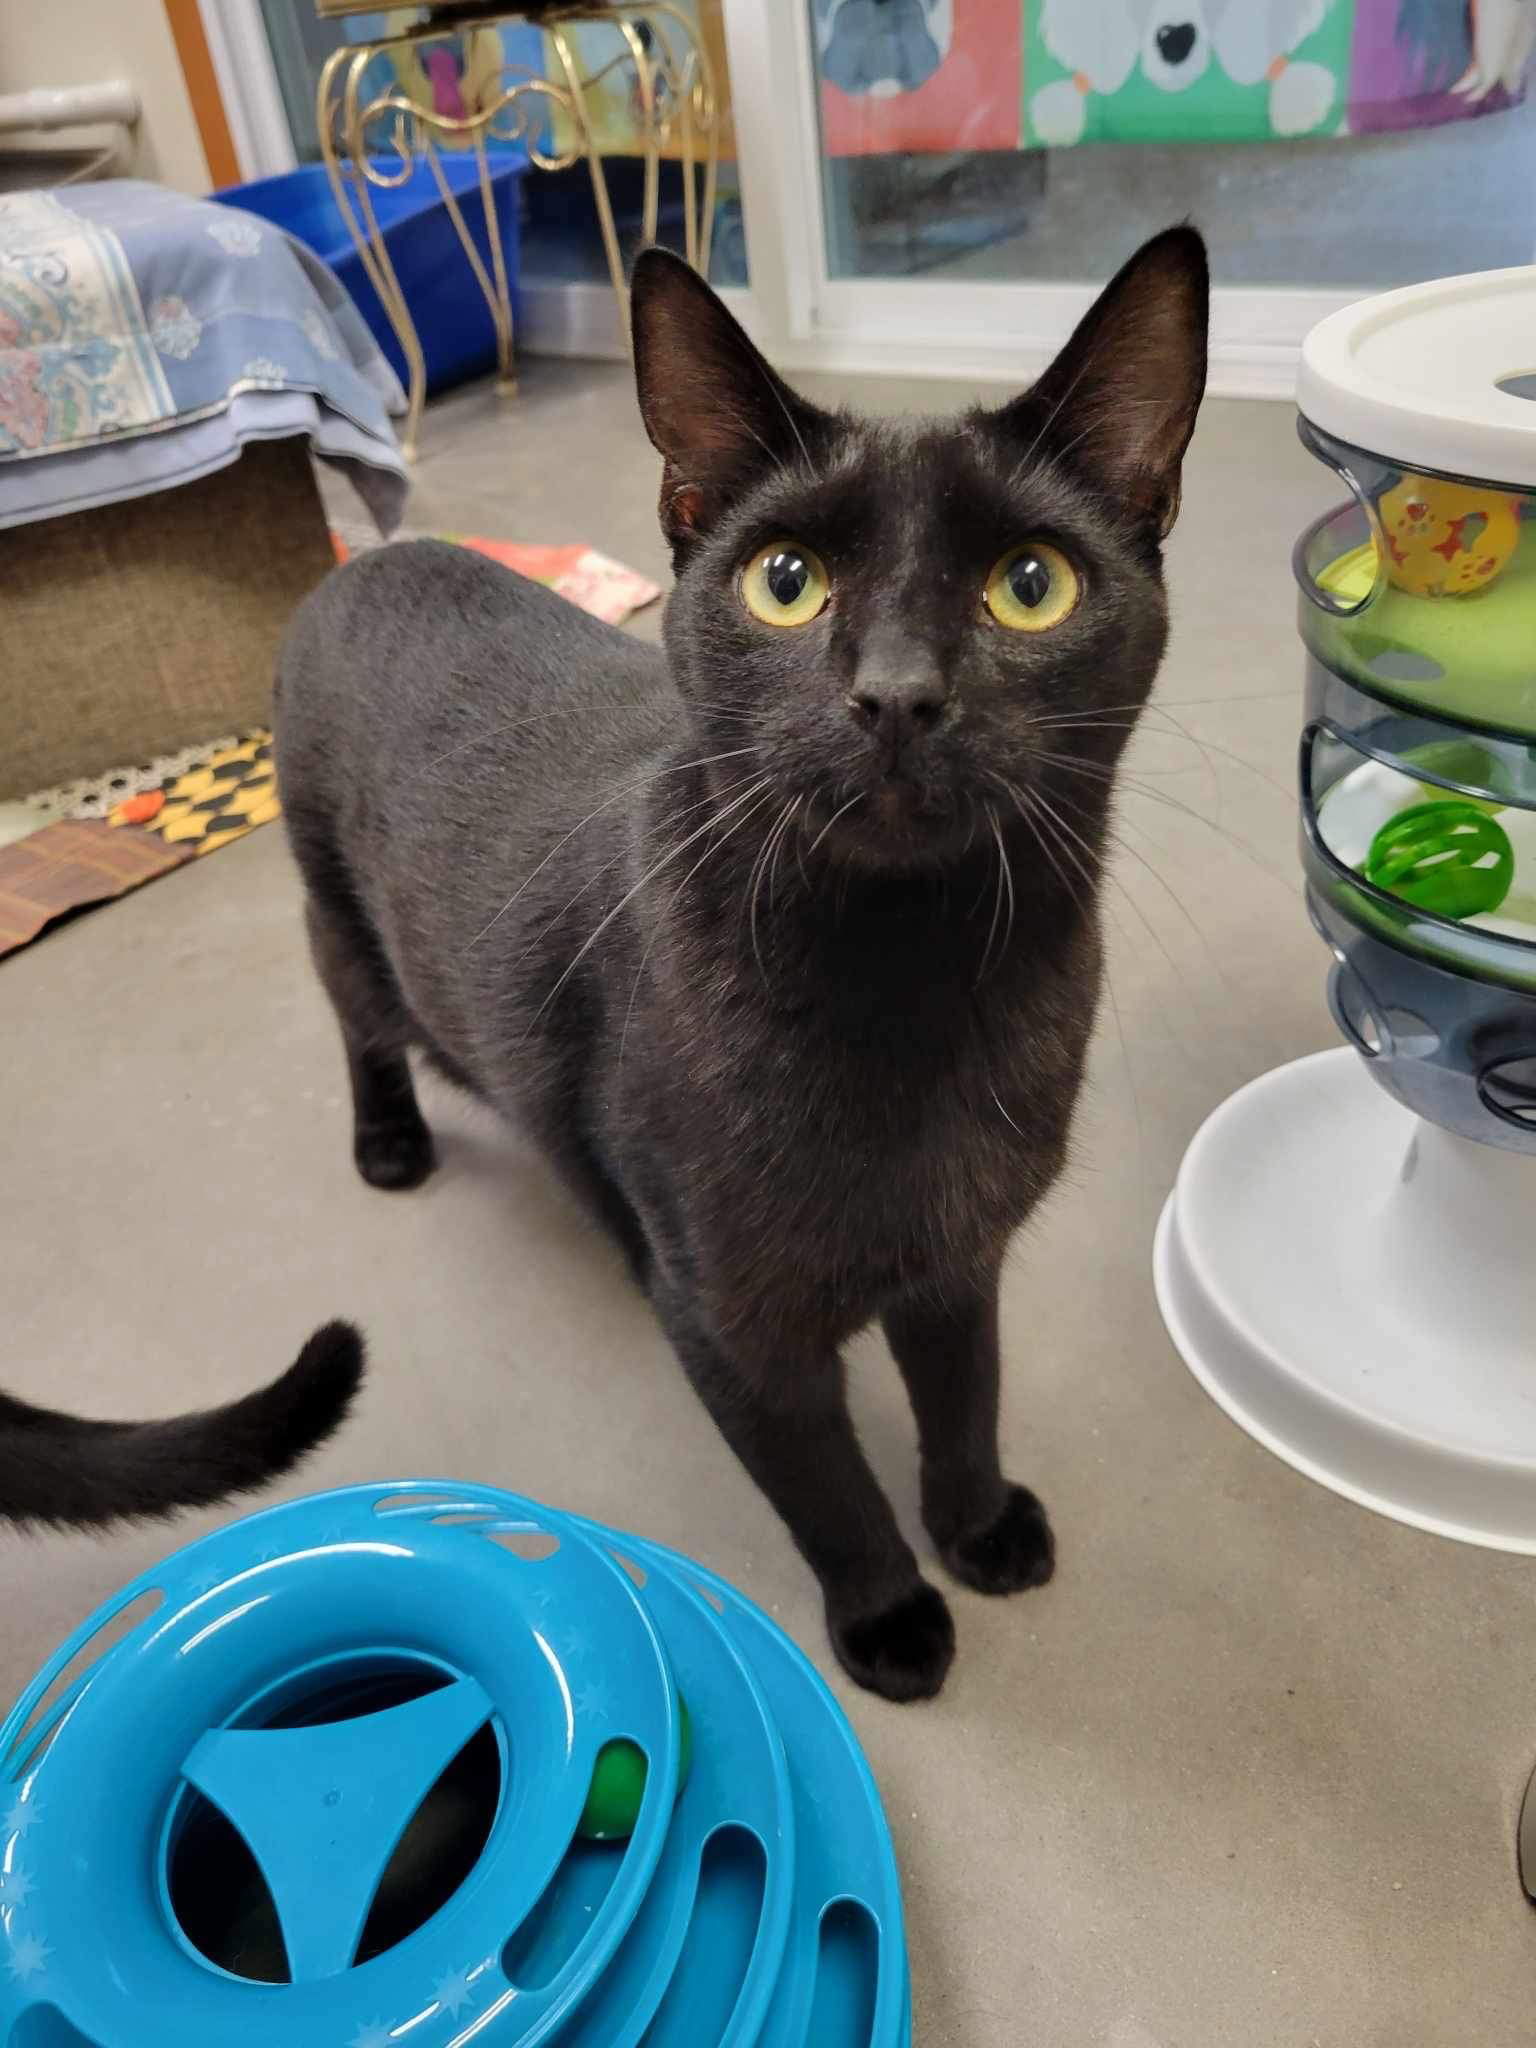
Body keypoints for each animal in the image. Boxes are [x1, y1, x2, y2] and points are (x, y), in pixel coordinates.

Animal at [280, 228, 1212, 1695]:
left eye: (1031, 583)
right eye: (785, 582)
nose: (897, 693)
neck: (916, 981)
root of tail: (378, 555)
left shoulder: (961, 1258)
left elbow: (968, 1395)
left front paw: (979, 1526)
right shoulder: (735, 1322)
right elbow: (822, 1479)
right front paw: (890, 1615)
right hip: (334, 910)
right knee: (364, 1024)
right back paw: (392, 1146)